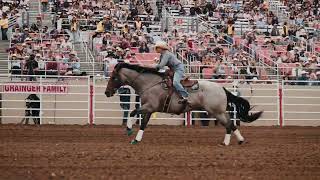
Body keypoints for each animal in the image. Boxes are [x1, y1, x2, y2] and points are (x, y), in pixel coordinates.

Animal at [105, 62, 262, 146]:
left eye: (113, 77)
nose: (107, 92)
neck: (149, 84)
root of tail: (222, 88)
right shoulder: (148, 110)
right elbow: (143, 124)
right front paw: (136, 139)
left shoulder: (149, 107)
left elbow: (132, 112)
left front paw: (129, 129)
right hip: (220, 112)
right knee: (232, 124)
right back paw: (240, 140)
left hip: (217, 112)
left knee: (229, 125)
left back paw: (226, 143)